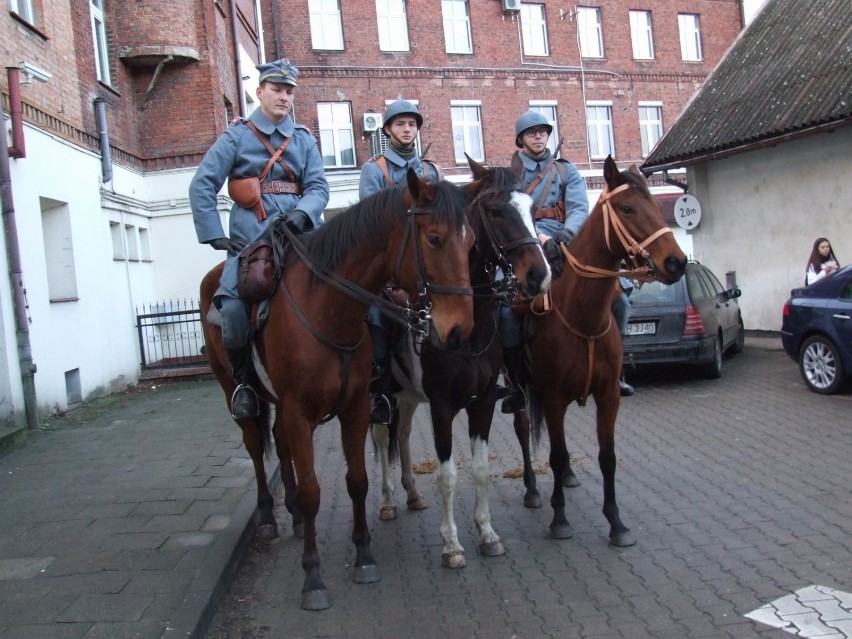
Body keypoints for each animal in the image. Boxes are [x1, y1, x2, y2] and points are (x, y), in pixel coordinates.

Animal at [202, 170, 476, 608]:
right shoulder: (300, 412)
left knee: (278, 442)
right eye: (434, 238)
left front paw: (364, 556)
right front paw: (313, 577)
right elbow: (314, 490)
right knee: (256, 446)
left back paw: (294, 516)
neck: (327, 307)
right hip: (237, 391)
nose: (460, 331)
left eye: (470, 241)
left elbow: (357, 480)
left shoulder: (353, 408)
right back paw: (268, 517)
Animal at [372, 162, 552, 568]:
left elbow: (481, 470)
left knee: (401, 435)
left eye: (532, 209)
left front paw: (487, 534)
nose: (539, 275)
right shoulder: (441, 407)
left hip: (408, 397)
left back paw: (411, 493)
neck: (469, 331)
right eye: (496, 211)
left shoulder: (482, 402)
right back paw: (388, 500)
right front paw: (452, 544)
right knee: (380, 438)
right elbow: (447, 475)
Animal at [512, 158, 684, 548]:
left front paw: (616, 522)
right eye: (627, 208)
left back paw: (568, 477)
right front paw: (559, 518)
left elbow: (608, 457)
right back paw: (531, 490)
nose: (677, 263)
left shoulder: (607, 397)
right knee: (523, 428)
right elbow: (556, 454)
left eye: (655, 204)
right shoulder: (554, 398)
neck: (583, 317)